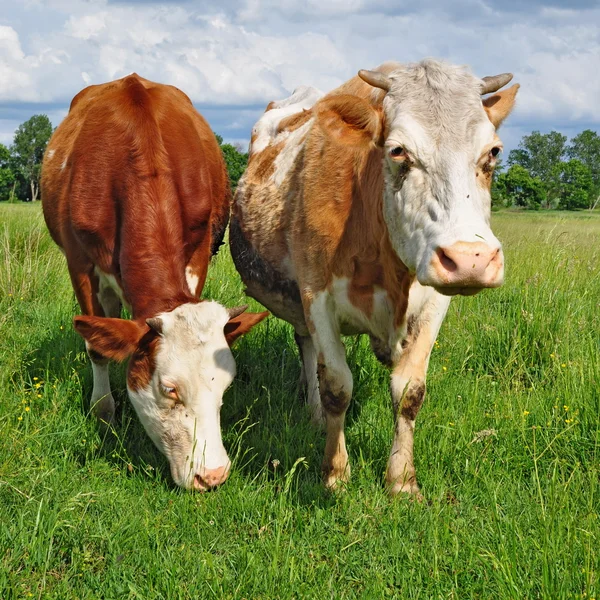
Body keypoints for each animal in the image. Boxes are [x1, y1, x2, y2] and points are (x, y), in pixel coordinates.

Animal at [42, 72, 268, 490]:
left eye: (225, 386)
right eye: (170, 390)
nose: (213, 475)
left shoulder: (197, 253)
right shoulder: (79, 263)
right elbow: (97, 347)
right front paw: (103, 410)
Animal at [232, 58, 516, 494]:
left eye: (493, 152)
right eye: (398, 150)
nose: (471, 258)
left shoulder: (436, 302)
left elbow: (410, 391)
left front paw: (401, 480)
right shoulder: (317, 295)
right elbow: (336, 386)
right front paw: (335, 473)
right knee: (309, 351)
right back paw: (316, 417)